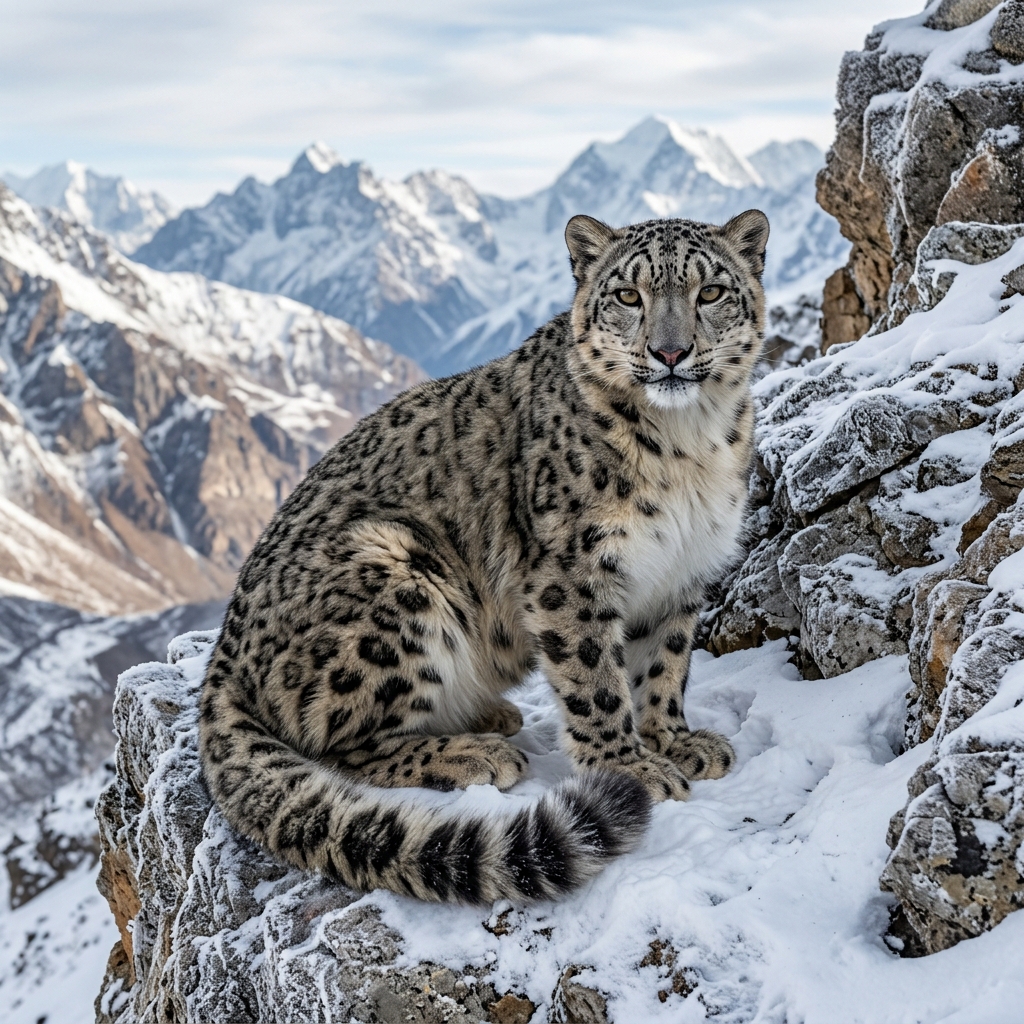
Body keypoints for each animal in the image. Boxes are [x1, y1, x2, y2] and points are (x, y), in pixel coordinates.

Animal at [198, 209, 770, 905]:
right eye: (628, 296)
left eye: (709, 292)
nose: (669, 353)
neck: (691, 448)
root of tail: (224, 653)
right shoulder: (572, 571)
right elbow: (597, 680)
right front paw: (630, 768)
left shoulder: (680, 573)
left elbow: (662, 666)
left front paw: (675, 741)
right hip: (395, 575)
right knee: (336, 743)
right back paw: (473, 752)